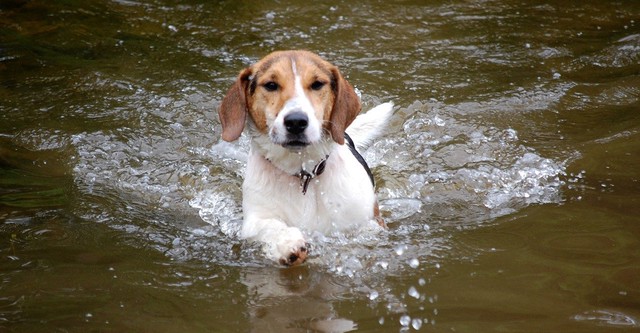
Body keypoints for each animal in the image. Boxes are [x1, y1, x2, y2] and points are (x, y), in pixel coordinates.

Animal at [218, 49, 392, 266]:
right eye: (271, 85)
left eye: (317, 84)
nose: (296, 121)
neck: (304, 173)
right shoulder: (254, 219)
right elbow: (268, 227)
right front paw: (287, 243)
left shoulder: (369, 221)